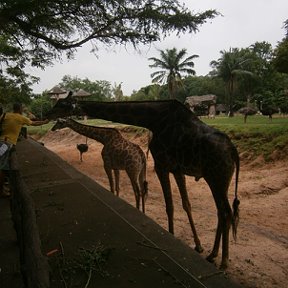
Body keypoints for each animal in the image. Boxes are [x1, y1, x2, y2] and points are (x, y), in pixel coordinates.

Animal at [46, 97, 241, 270]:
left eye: (61, 104)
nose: (46, 114)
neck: (152, 120)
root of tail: (233, 151)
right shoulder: (177, 169)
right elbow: (186, 204)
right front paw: (198, 245)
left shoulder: (161, 165)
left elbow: (169, 206)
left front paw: (171, 235)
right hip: (219, 180)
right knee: (221, 212)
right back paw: (213, 254)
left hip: (216, 178)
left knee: (226, 213)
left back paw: (223, 261)